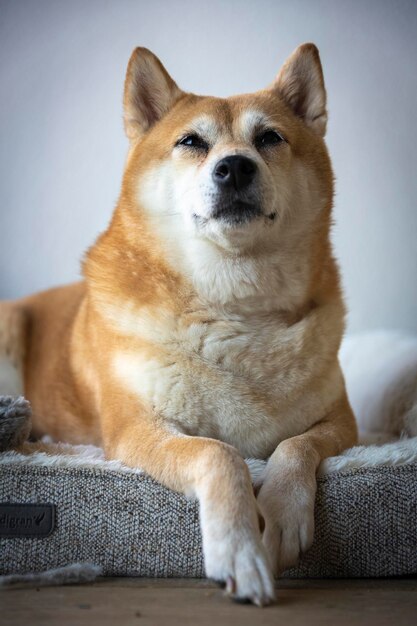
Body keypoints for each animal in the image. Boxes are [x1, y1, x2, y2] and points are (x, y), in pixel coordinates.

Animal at [0, 44, 358, 604]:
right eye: (192, 141)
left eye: (269, 138)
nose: (234, 168)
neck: (234, 308)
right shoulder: (136, 429)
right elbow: (220, 455)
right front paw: (239, 551)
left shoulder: (343, 421)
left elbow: (296, 445)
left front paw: (282, 514)